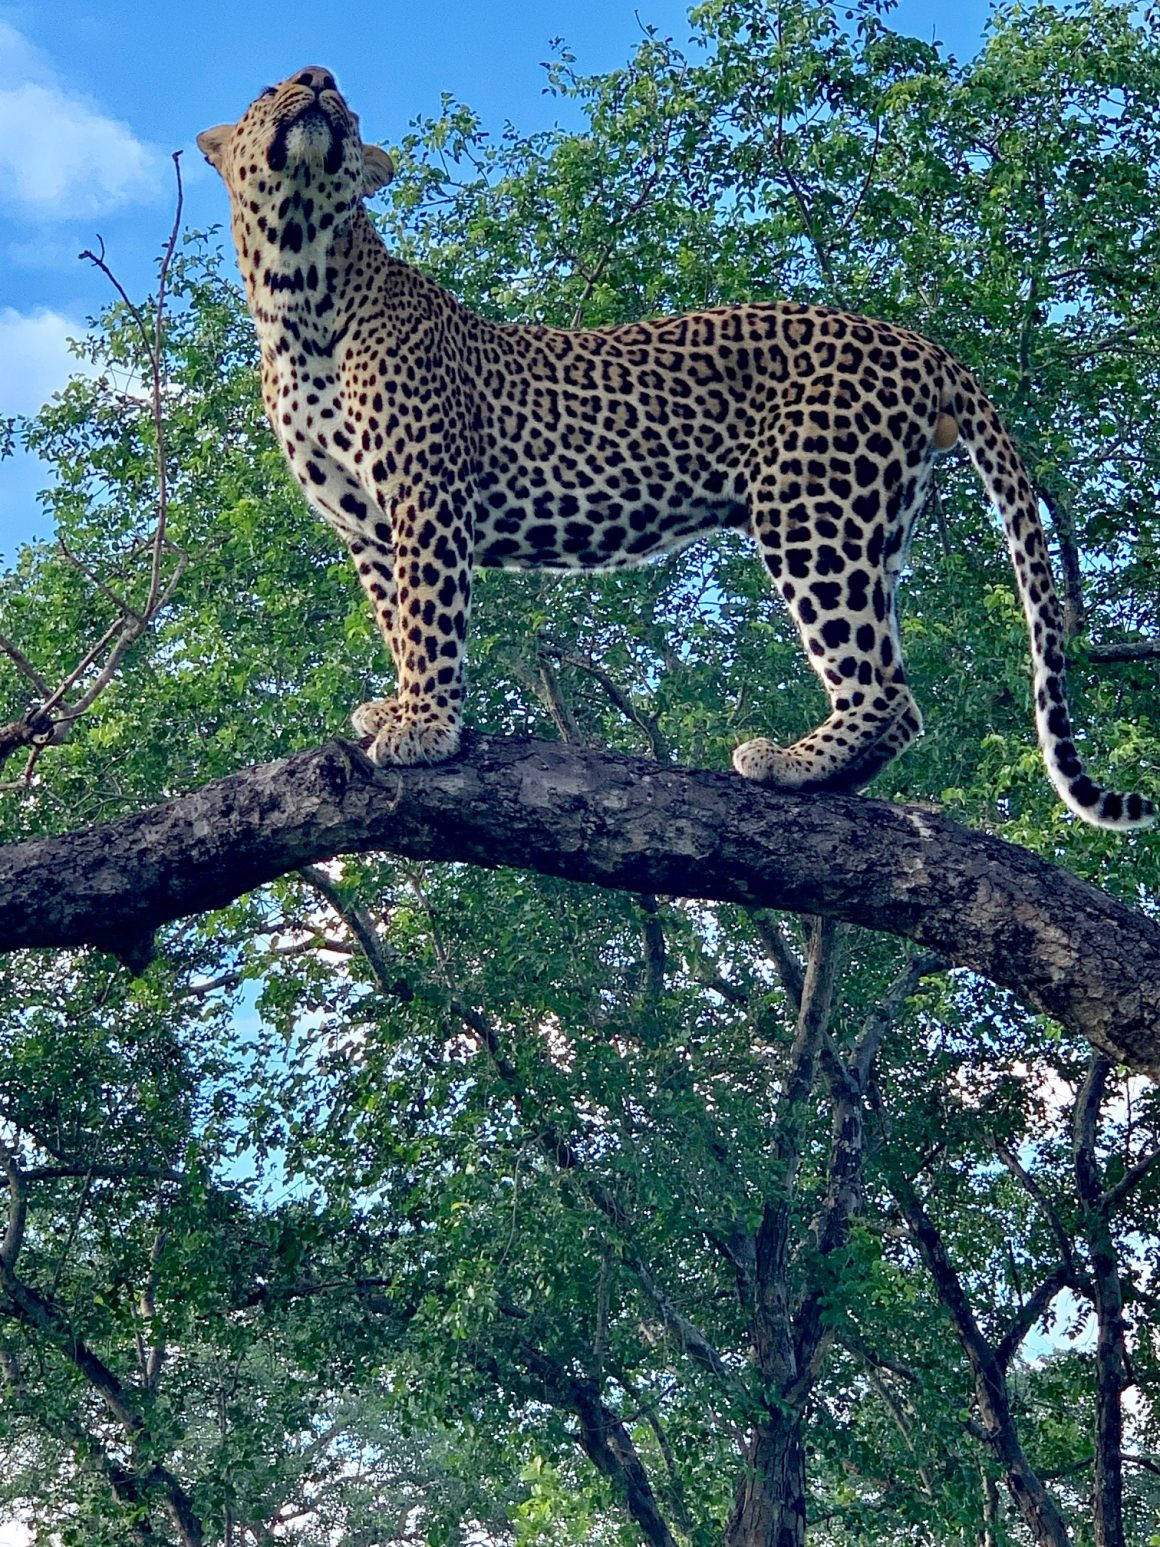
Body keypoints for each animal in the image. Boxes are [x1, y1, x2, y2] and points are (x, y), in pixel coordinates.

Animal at [197, 66, 1156, 835]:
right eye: (270, 88)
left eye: (340, 100)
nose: (319, 79)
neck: (297, 288)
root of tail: (921, 342)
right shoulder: (365, 523)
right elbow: (398, 621)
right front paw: (400, 705)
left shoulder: (426, 495)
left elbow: (429, 618)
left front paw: (426, 727)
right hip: (873, 518)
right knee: (895, 689)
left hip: (812, 509)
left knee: (886, 688)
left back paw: (790, 762)